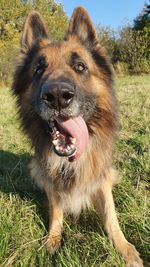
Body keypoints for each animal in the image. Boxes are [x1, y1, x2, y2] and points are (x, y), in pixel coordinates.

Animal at [11, 6, 143, 267]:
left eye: (80, 66)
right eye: (39, 69)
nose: (57, 96)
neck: (70, 159)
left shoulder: (101, 177)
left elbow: (111, 215)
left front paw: (124, 248)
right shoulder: (50, 178)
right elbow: (56, 210)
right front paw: (52, 240)